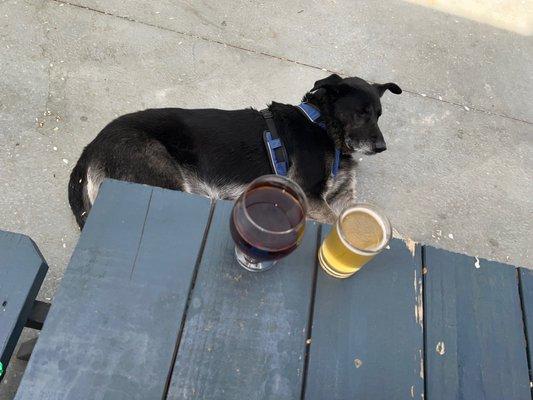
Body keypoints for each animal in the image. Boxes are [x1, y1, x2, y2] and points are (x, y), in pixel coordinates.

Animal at [68, 73, 400, 227]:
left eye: (379, 114)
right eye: (361, 113)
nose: (381, 147)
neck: (321, 124)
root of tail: (90, 148)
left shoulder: (344, 198)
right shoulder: (310, 195)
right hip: (164, 179)